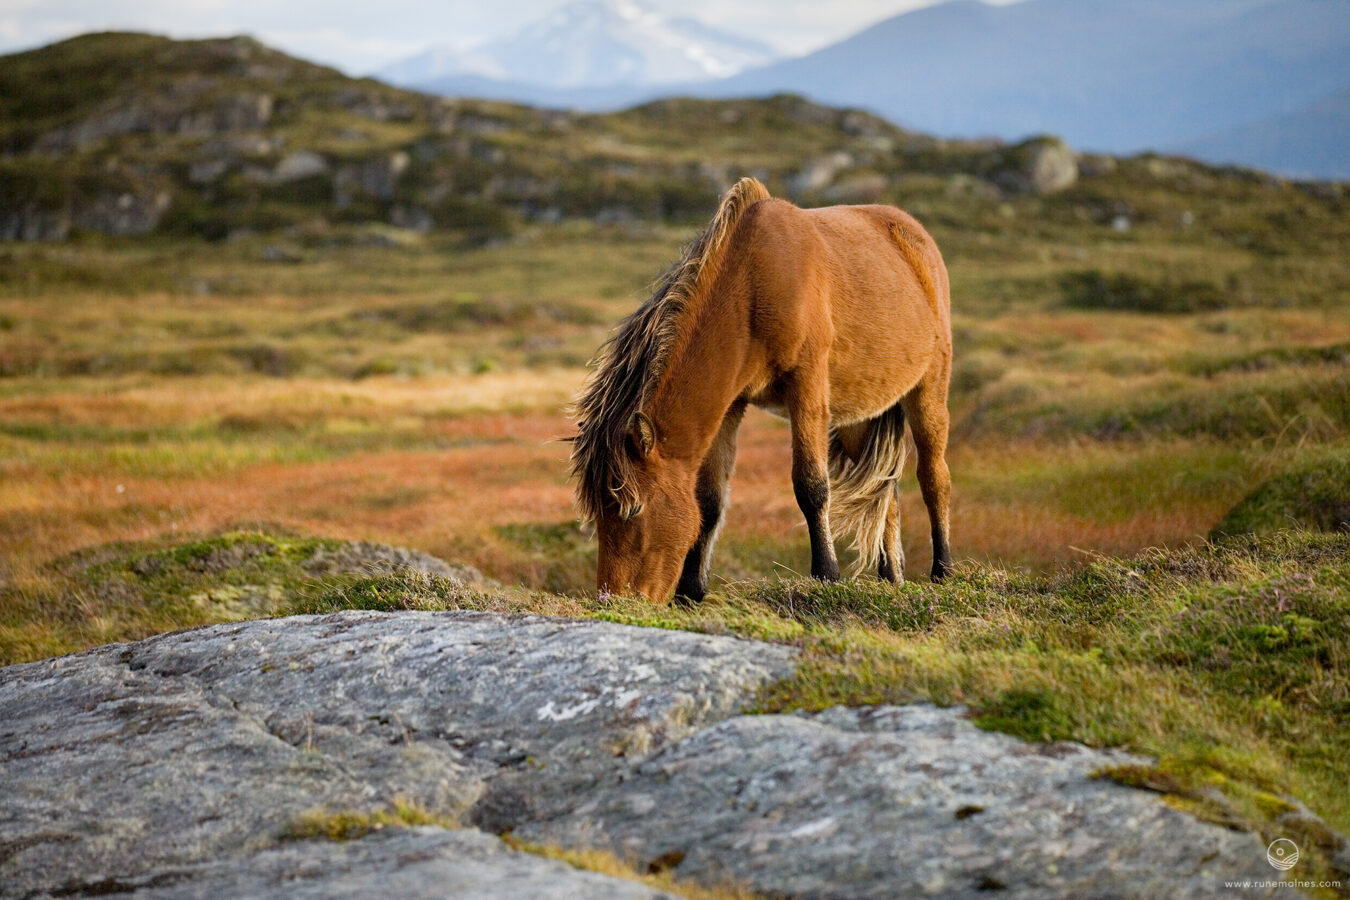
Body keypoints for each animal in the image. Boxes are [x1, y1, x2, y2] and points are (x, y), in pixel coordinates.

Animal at [569, 175, 950, 601]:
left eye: (632, 509)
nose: (615, 597)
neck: (753, 285)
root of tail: (917, 236)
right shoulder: (731, 406)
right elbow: (709, 499)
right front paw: (690, 591)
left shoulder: (806, 388)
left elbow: (811, 485)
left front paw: (825, 575)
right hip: (860, 417)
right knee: (885, 492)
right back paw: (891, 578)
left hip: (929, 391)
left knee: (933, 478)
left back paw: (942, 571)